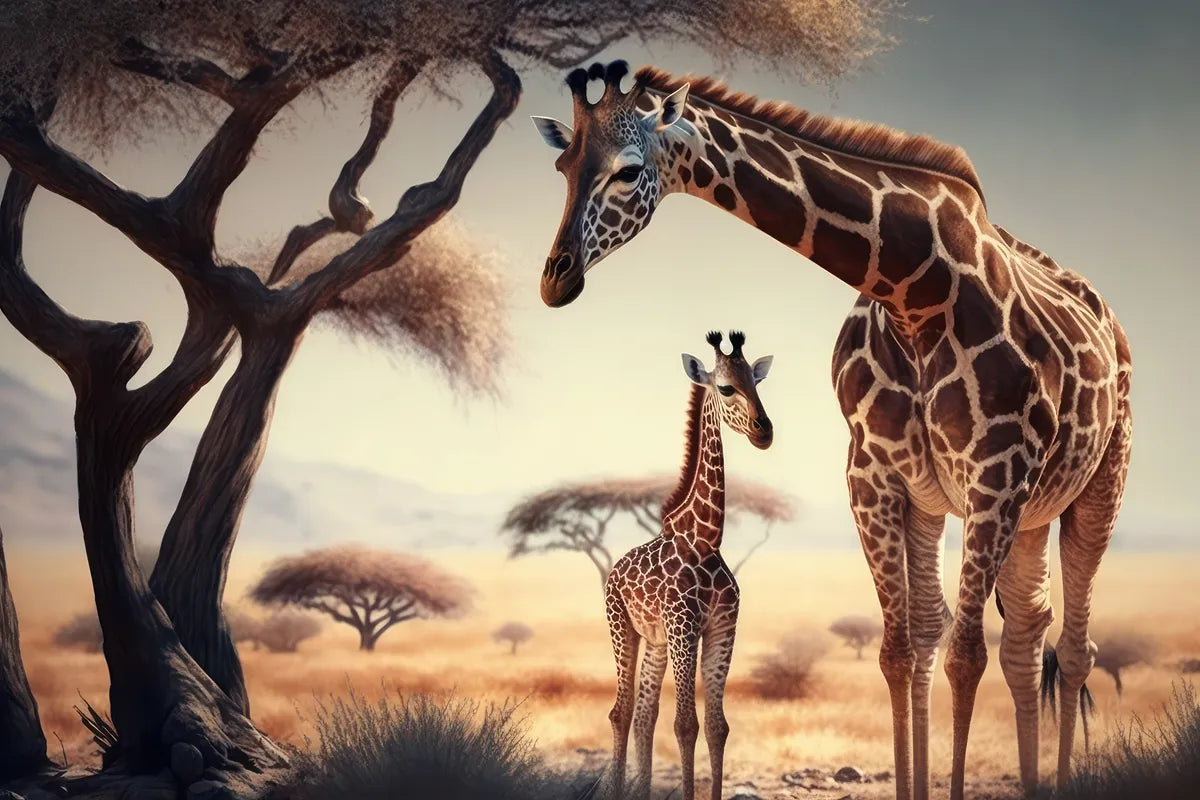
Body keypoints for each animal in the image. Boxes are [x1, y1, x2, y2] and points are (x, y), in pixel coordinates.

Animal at [604, 330, 773, 800]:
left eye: (758, 383)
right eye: (726, 387)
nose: (764, 431)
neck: (706, 539)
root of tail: (614, 571)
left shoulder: (721, 628)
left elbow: (717, 726)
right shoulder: (685, 628)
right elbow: (685, 724)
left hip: (656, 642)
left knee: (644, 714)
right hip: (622, 627)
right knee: (621, 711)